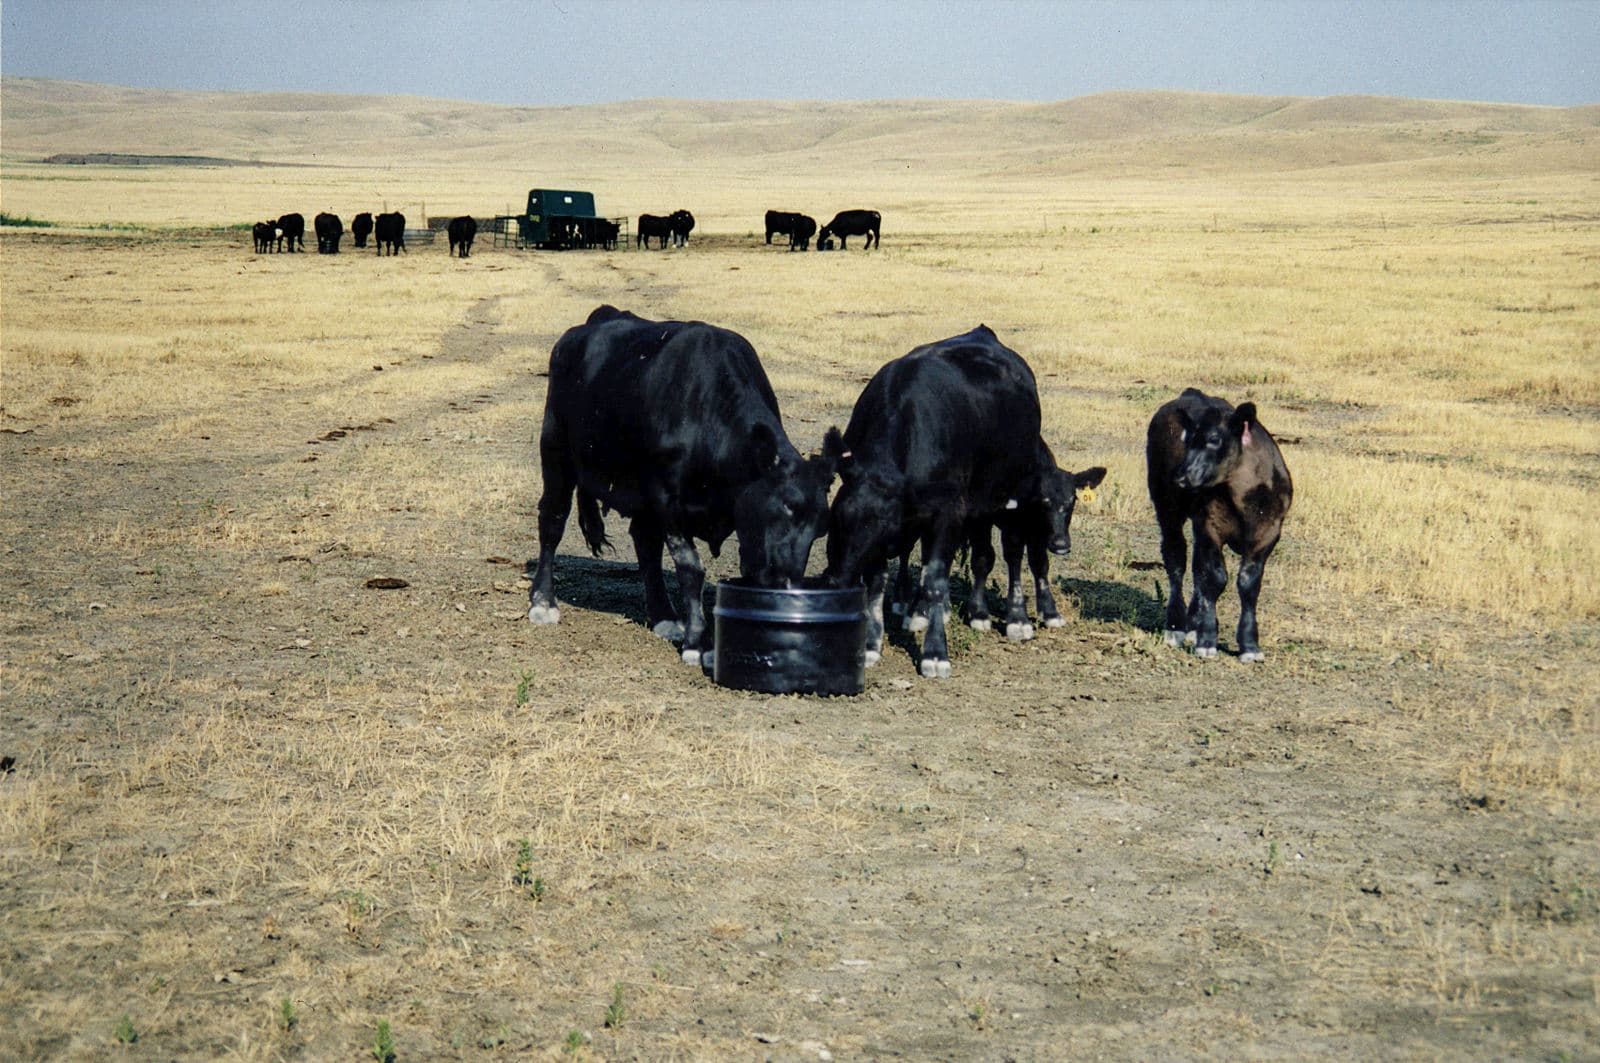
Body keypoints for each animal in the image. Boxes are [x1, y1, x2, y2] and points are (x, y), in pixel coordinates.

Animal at [527, 306, 841, 666]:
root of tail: (595, 321)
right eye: (782, 510)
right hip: (556, 449)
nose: (785, 585)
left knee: (645, 543)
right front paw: (697, 642)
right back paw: (543, 602)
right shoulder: (667, 498)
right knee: (552, 519)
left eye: (820, 530)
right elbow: (690, 567)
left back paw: (663, 616)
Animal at [824, 325, 1056, 678]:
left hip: (1012, 492)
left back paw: (1014, 619)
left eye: (880, 525)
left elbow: (935, 580)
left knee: (1011, 553)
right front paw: (872, 645)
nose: (837, 581)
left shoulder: (947, 515)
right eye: (835, 520)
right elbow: (879, 584)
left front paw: (934, 653)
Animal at [1146, 388, 1293, 662]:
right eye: (1187, 439)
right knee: (1176, 560)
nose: (1180, 476)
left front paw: (1249, 645)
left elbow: (1248, 583)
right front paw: (1207, 640)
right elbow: (1214, 578)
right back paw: (1176, 627)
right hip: (1166, 506)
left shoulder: (1268, 533)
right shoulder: (1210, 526)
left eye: (1214, 439)